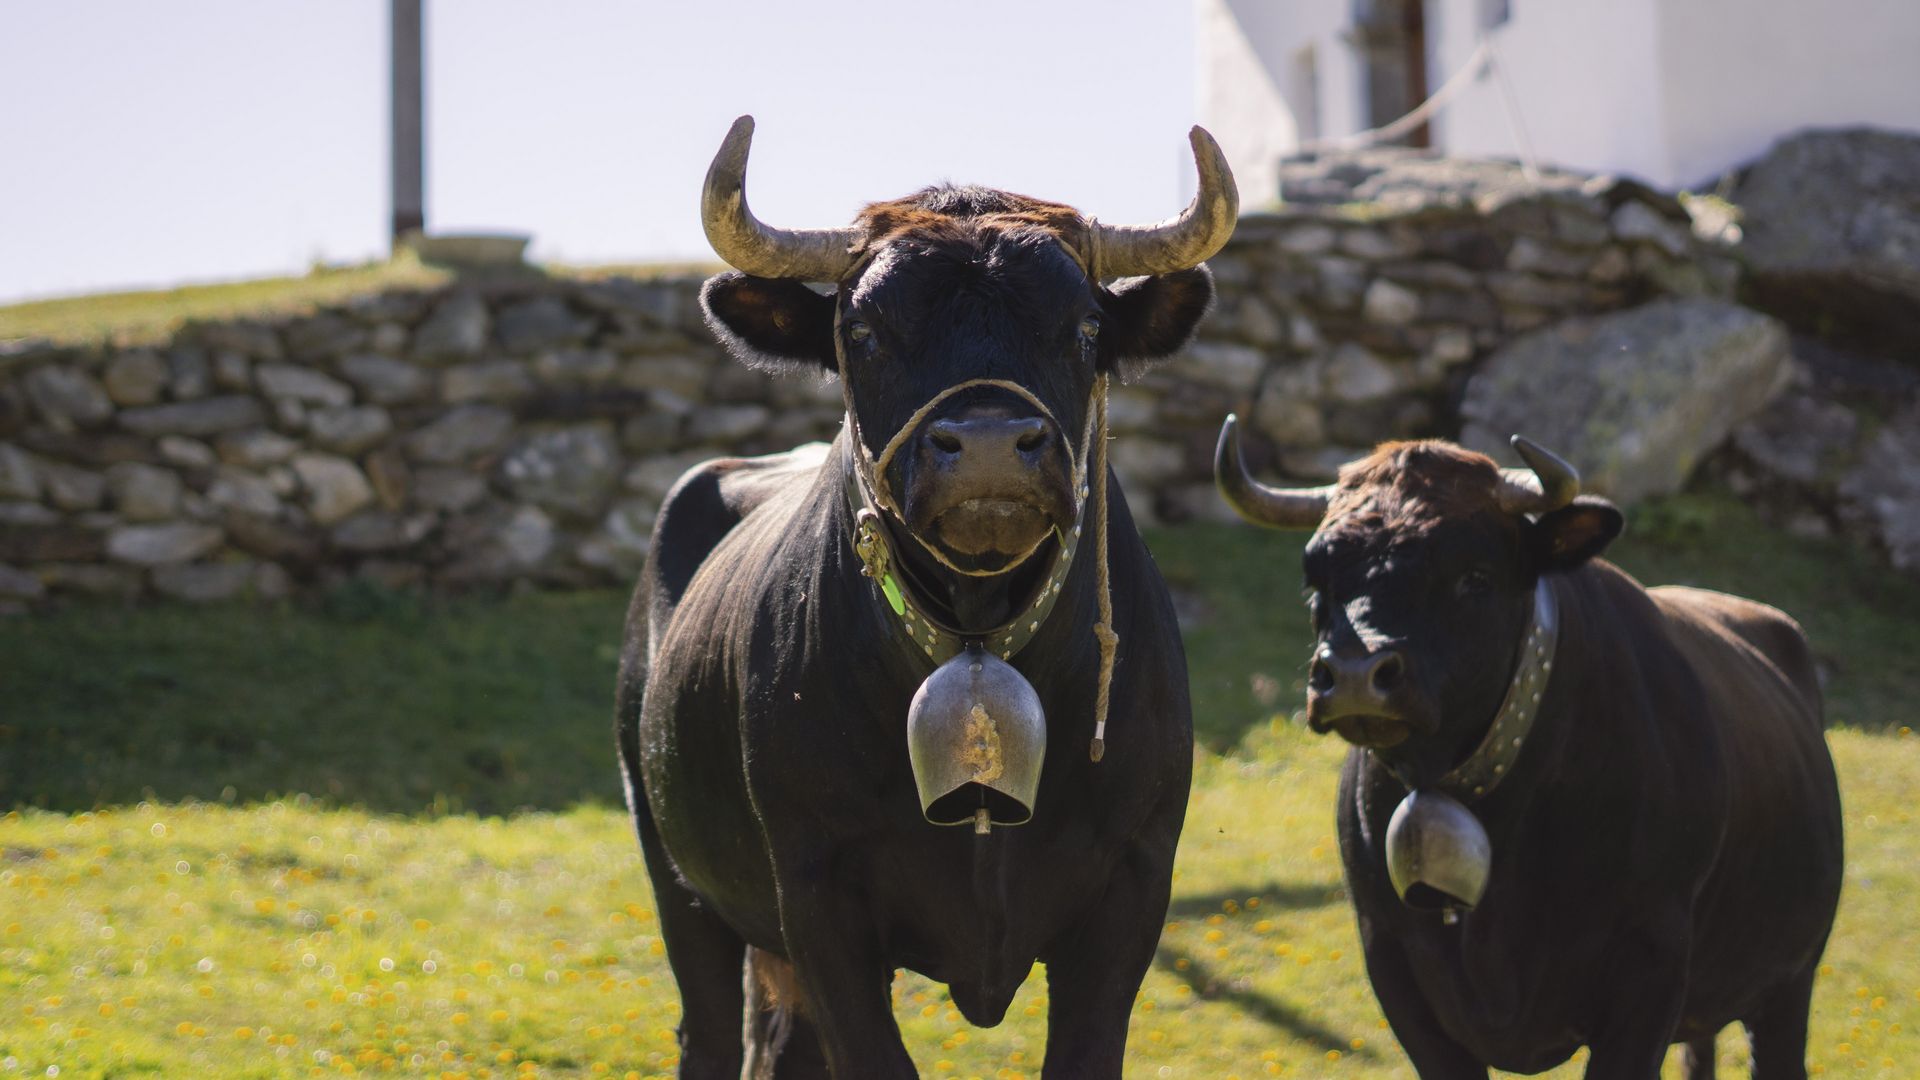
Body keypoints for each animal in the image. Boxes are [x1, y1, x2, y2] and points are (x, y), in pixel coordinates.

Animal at [614, 115, 1237, 1078]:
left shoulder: (1134, 881)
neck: (978, 635)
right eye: (864, 328)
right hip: (680, 879)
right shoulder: (818, 895)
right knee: (709, 1034)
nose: (986, 450)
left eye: (1085, 325)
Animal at [1215, 418, 1844, 1079]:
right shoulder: (1391, 961)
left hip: (1789, 982)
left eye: (1475, 576)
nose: (1355, 674)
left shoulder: (1652, 966)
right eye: (1317, 581)